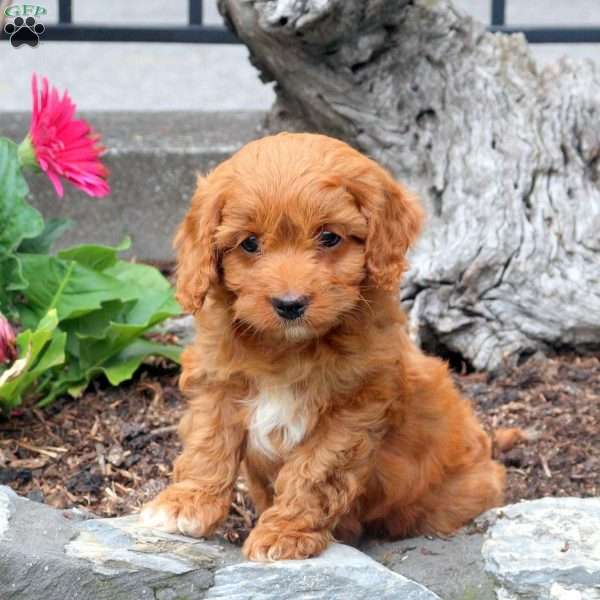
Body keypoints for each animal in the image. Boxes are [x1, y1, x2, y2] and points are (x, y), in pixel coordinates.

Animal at [142, 132, 506, 564]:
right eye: (249, 243)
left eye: (329, 237)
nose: (290, 304)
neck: (287, 349)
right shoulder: (217, 383)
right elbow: (208, 444)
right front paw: (186, 504)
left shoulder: (351, 411)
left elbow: (314, 472)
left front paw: (285, 532)